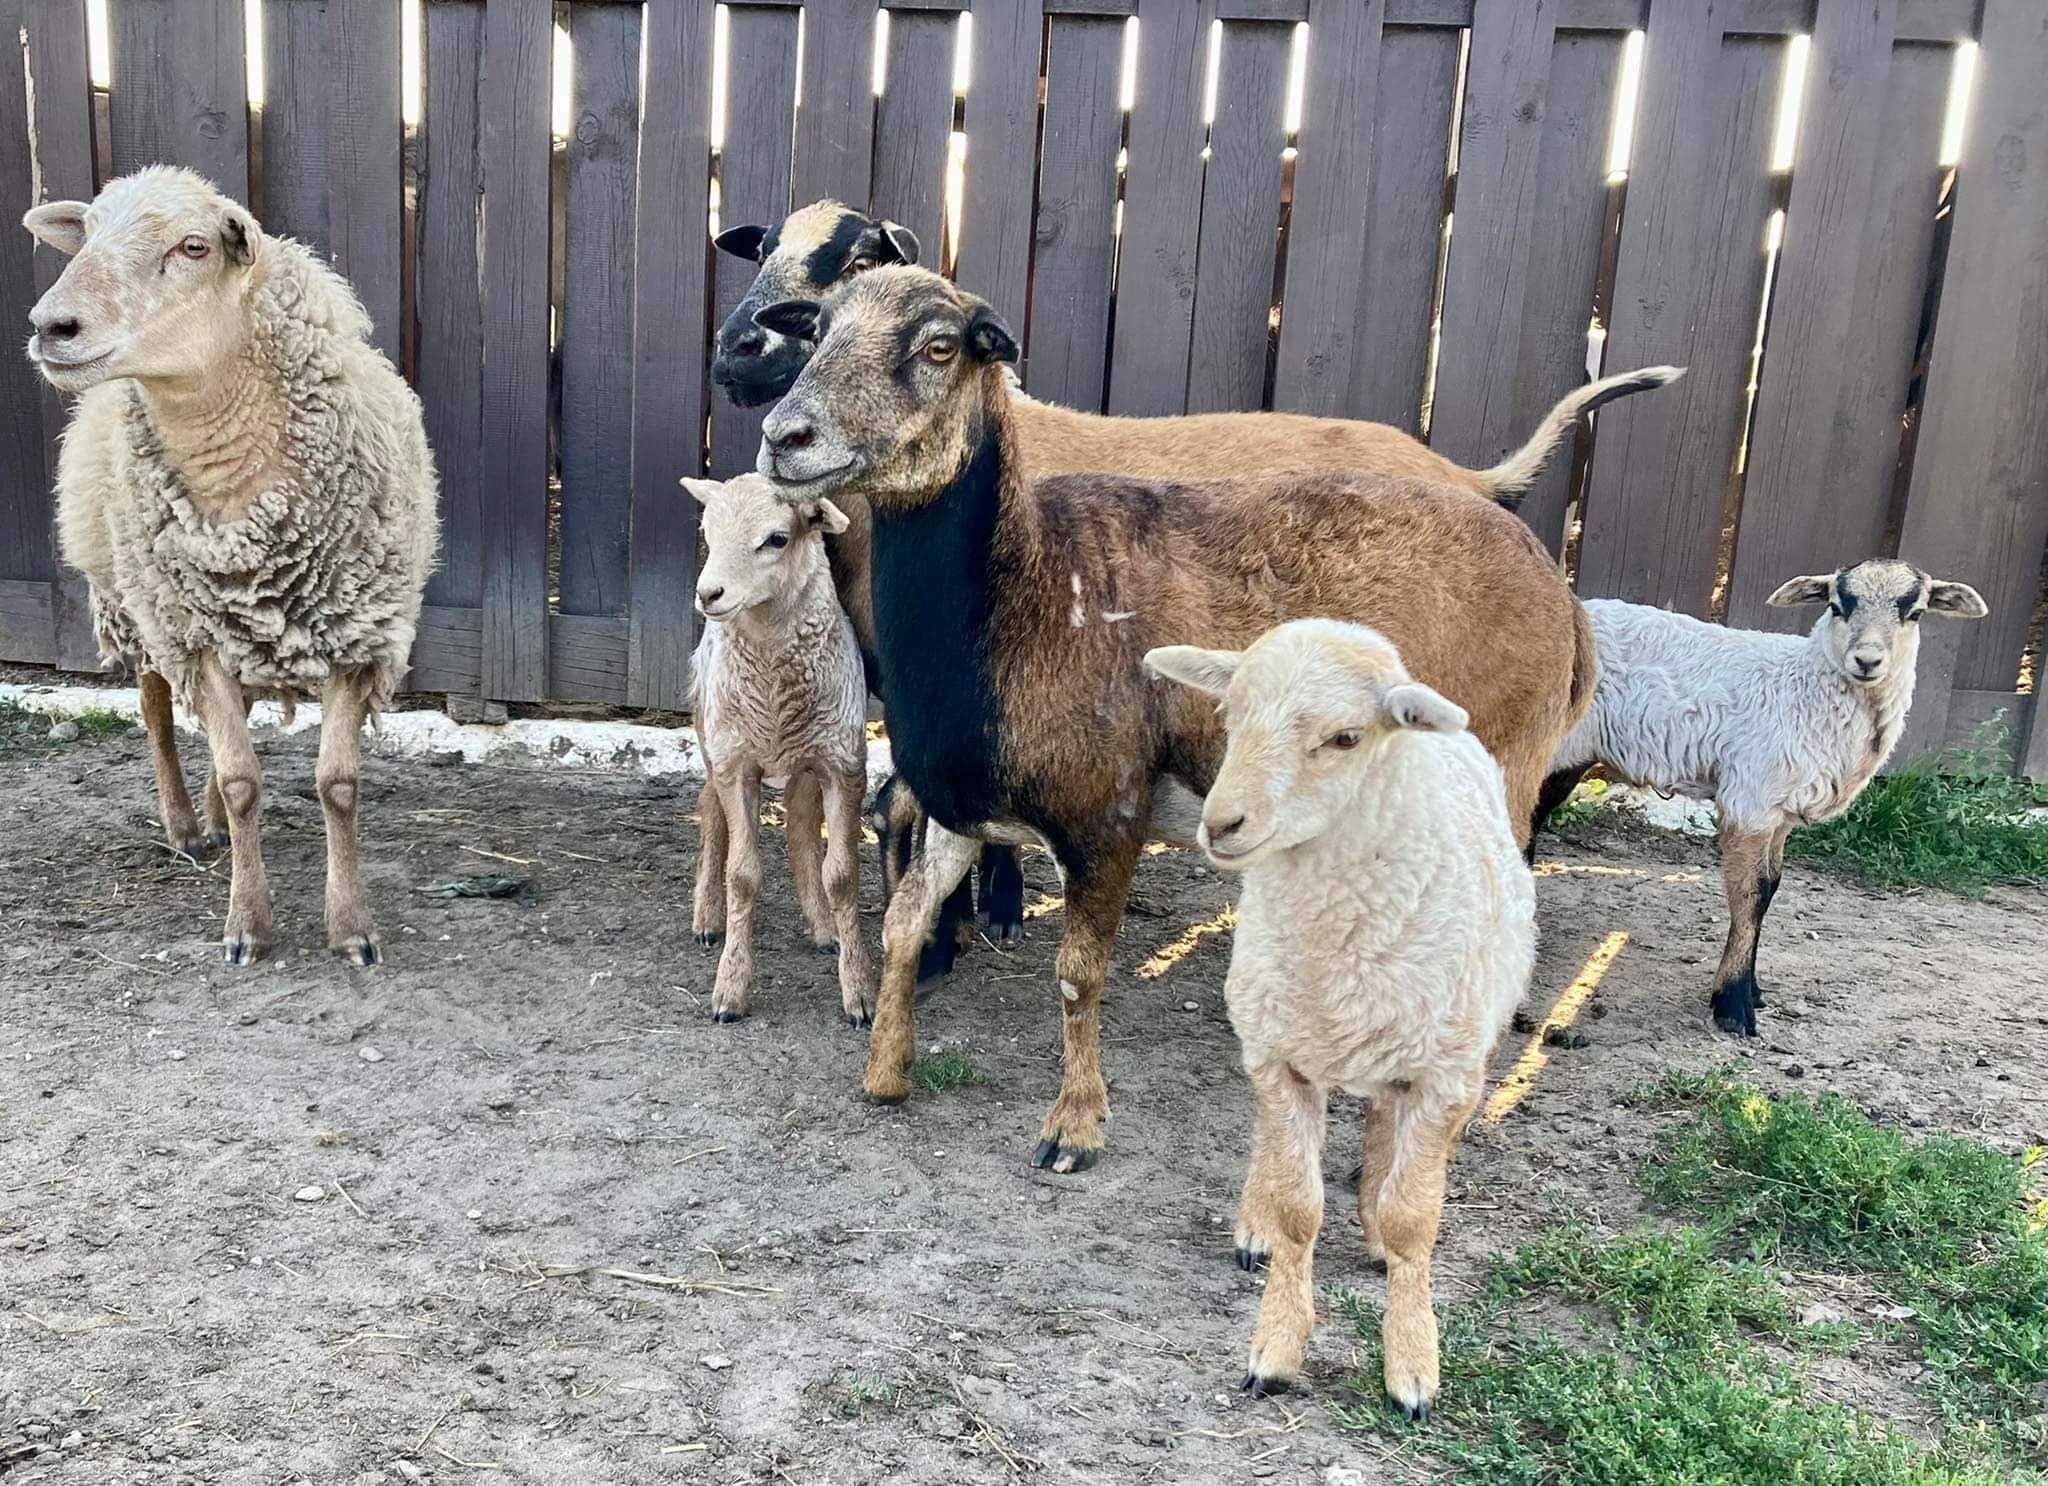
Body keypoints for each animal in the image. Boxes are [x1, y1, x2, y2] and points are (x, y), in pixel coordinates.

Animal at [22, 168, 440, 970]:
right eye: (85, 236)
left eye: (193, 247)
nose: (51, 326)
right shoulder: (193, 636)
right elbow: (244, 778)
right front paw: (247, 924)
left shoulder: (356, 635)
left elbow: (337, 784)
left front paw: (353, 928)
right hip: (141, 610)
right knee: (157, 715)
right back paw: (188, 825)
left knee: (230, 724)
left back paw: (212, 818)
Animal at [684, 474, 868, 1023]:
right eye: (706, 531)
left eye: (777, 539)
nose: (708, 593)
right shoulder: (736, 764)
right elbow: (742, 875)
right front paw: (730, 989)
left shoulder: (843, 765)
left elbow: (841, 875)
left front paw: (858, 992)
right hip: (712, 734)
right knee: (709, 811)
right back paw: (707, 918)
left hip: (805, 760)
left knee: (800, 829)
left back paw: (824, 929)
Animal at [753, 264, 1597, 1178]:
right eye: (818, 329)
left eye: (940, 347)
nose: (784, 437)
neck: (1024, 596)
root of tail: (1559, 588)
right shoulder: (963, 804)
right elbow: (907, 923)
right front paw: (886, 1070)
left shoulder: (1107, 815)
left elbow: (1078, 974)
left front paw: (1073, 1128)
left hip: (1503, 769)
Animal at [1146, 622, 1531, 1424]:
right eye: (1229, 716)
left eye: (1346, 737)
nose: (1221, 824)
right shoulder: (1278, 1058)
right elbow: (1299, 1209)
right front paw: (1276, 1348)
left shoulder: (1446, 1076)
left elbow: (1416, 1218)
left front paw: (1411, 1364)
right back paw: (1257, 1223)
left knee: (1387, 1129)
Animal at [1540, 564, 1990, 1043]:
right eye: (1837, 605)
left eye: (1916, 612)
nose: (1867, 661)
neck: (1806, 687)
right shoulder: (1751, 797)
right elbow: (1751, 895)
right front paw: (1733, 1004)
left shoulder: (1781, 812)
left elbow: (1771, 888)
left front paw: (1752, 990)